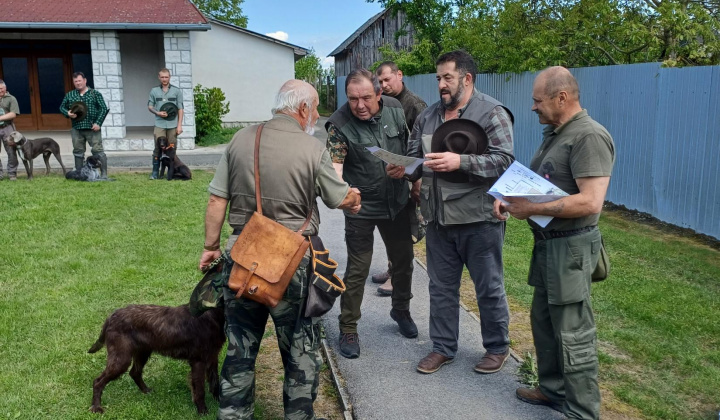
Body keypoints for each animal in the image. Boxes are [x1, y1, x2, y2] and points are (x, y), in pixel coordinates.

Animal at [89, 304, 226, 416]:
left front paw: (219, 402)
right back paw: (96, 407)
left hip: (142, 353)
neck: (212, 314)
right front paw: (202, 411)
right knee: (98, 381)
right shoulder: (198, 361)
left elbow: (215, 382)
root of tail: (111, 317)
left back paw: (145, 390)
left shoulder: (212, 357)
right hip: (121, 359)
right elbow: (200, 390)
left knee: (134, 373)